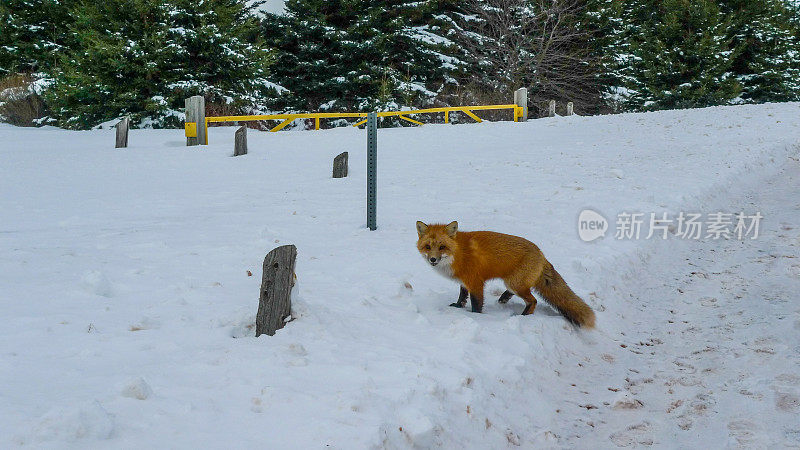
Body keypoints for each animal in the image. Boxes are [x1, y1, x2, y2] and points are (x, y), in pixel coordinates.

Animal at [418, 221, 592, 328]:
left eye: (442, 247)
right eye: (428, 247)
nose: (433, 259)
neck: (458, 253)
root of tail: (542, 254)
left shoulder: (475, 282)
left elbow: (476, 304)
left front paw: (476, 317)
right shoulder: (464, 281)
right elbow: (462, 296)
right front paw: (458, 306)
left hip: (515, 283)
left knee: (533, 301)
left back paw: (522, 317)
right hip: (513, 282)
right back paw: (504, 298)